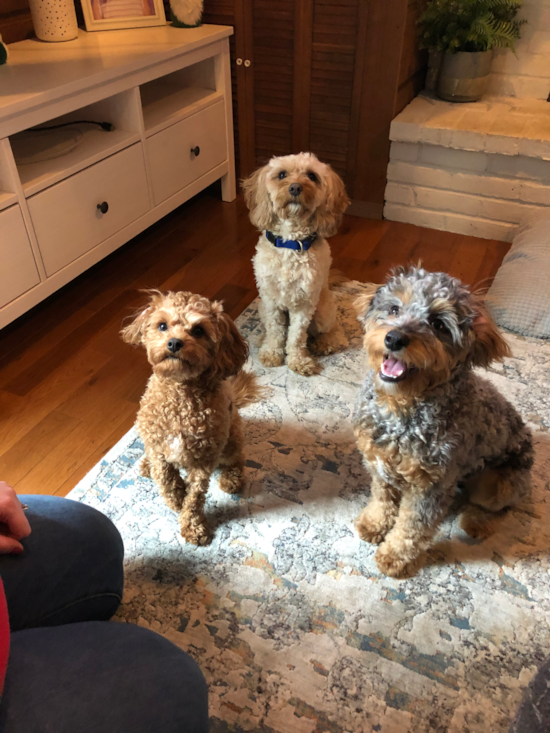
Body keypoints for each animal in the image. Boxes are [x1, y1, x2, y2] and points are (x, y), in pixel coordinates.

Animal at [123, 290, 266, 544]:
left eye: (199, 330)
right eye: (162, 325)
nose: (174, 342)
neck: (180, 393)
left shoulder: (203, 460)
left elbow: (195, 497)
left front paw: (193, 525)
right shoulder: (159, 448)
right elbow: (167, 480)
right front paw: (176, 498)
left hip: (231, 438)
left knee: (237, 458)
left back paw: (232, 479)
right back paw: (146, 465)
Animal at [244, 151, 352, 374]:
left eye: (312, 176)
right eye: (281, 174)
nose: (295, 187)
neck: (290, 243)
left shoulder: (304, 303)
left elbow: (296, 336)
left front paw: (298, 360)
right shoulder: (270, 300)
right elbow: (276, 330)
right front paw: (271, 353)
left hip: (323, 309)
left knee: (334, 328)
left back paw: (325, 343)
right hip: (261, 307)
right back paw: (262, 338)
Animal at [354, 264, 536, 576]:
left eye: (438, 324)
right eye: (393, 308)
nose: (394, 338)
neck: (401, 407)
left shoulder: (431, 486)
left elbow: (412, 527)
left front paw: (395, 556)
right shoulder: (378, 464)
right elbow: (381, 498)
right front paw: (375, 524)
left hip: (501, 484)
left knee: (501, 507)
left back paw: (477, 522)